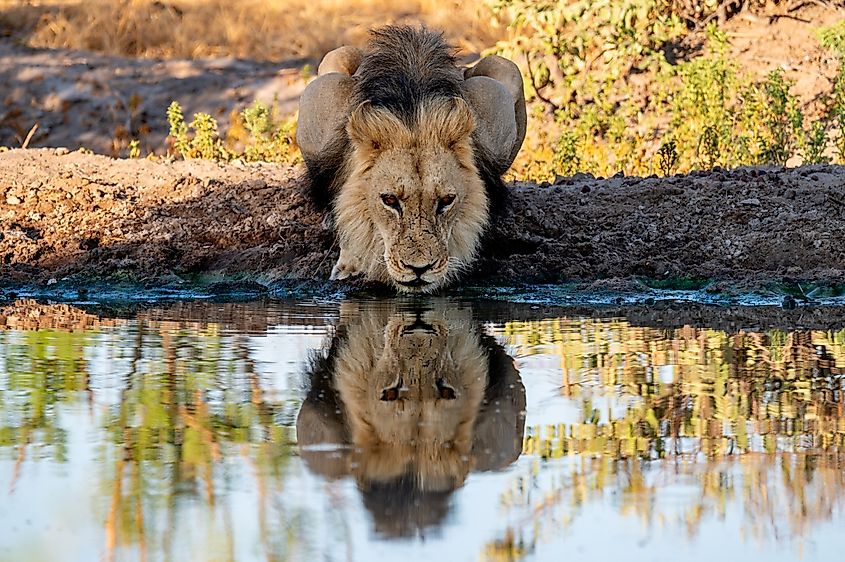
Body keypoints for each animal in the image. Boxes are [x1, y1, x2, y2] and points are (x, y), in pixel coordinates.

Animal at [297, 26, 526, 292]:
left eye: (446, 200)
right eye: (389, 200)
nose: (419, 269)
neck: (414, 116)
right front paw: (348, 264)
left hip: (504, 73)